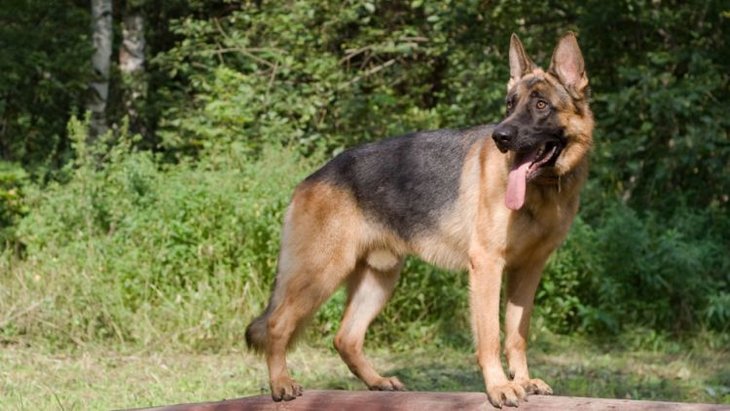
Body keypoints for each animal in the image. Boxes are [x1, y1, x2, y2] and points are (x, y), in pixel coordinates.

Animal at [245, 33, 592, 408]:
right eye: (510, 105)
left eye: (541, 105)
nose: (501, 137)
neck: (542, 190)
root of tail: (309, 180)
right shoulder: (487, 267)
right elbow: (490, 336)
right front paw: (500, 386)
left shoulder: (528, 271)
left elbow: (517, 333)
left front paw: (524, 381)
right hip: (320, 273)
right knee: (277, 324)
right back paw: (281, 384)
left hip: (378, 280)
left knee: (345, 338)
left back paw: (378, 382)